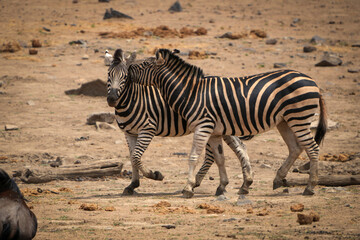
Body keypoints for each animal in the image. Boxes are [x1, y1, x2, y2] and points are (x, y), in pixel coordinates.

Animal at [107, 48, 253, 195]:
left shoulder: (147, 129)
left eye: (125, 77)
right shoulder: (129, 133)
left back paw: (196, 182)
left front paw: (155, 175)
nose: (112, 99)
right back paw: (243, 182)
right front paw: (132, 184)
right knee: (238, 147)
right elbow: (132, 158)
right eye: (108, 75)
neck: (131, 101)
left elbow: (136, 157)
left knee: (212, 155)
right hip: (222, 126)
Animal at [128, 48, 328, 197]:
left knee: (313, 148)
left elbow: (193, 156)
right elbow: (220, 158)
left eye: (144, 64)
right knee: (295, 148)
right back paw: (278, 179)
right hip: (285, 121)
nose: (128, 69)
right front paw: (222, 186)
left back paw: (310, 187)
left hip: (298, 117)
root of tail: (314, 82)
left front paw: (188, 187)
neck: (191, 93)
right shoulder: (214, 131)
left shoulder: (202, 126)